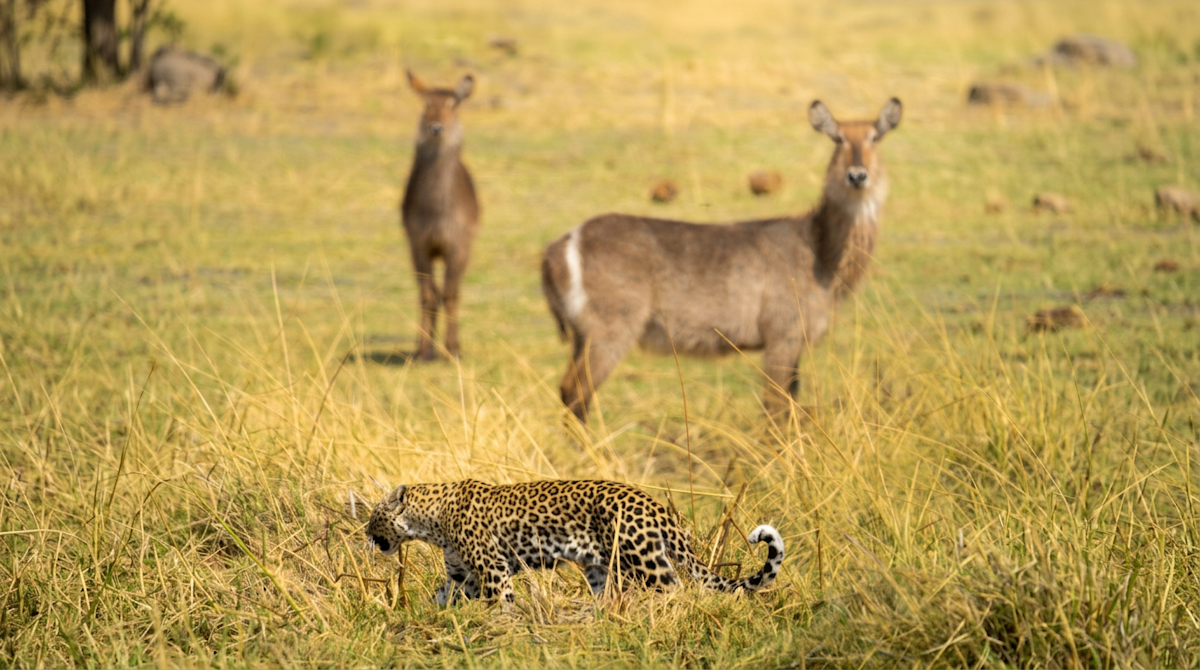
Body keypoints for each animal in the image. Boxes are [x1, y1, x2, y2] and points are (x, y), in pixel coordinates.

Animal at [366, 478, 784, 606]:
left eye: (372, 517)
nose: (367, 536)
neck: (431, 520)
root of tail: (653, 504)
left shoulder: (494, 570)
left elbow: (501, 603)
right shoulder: (462, 576)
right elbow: (442, 595)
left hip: (642, 560)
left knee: (674, 589)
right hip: (601, 566)